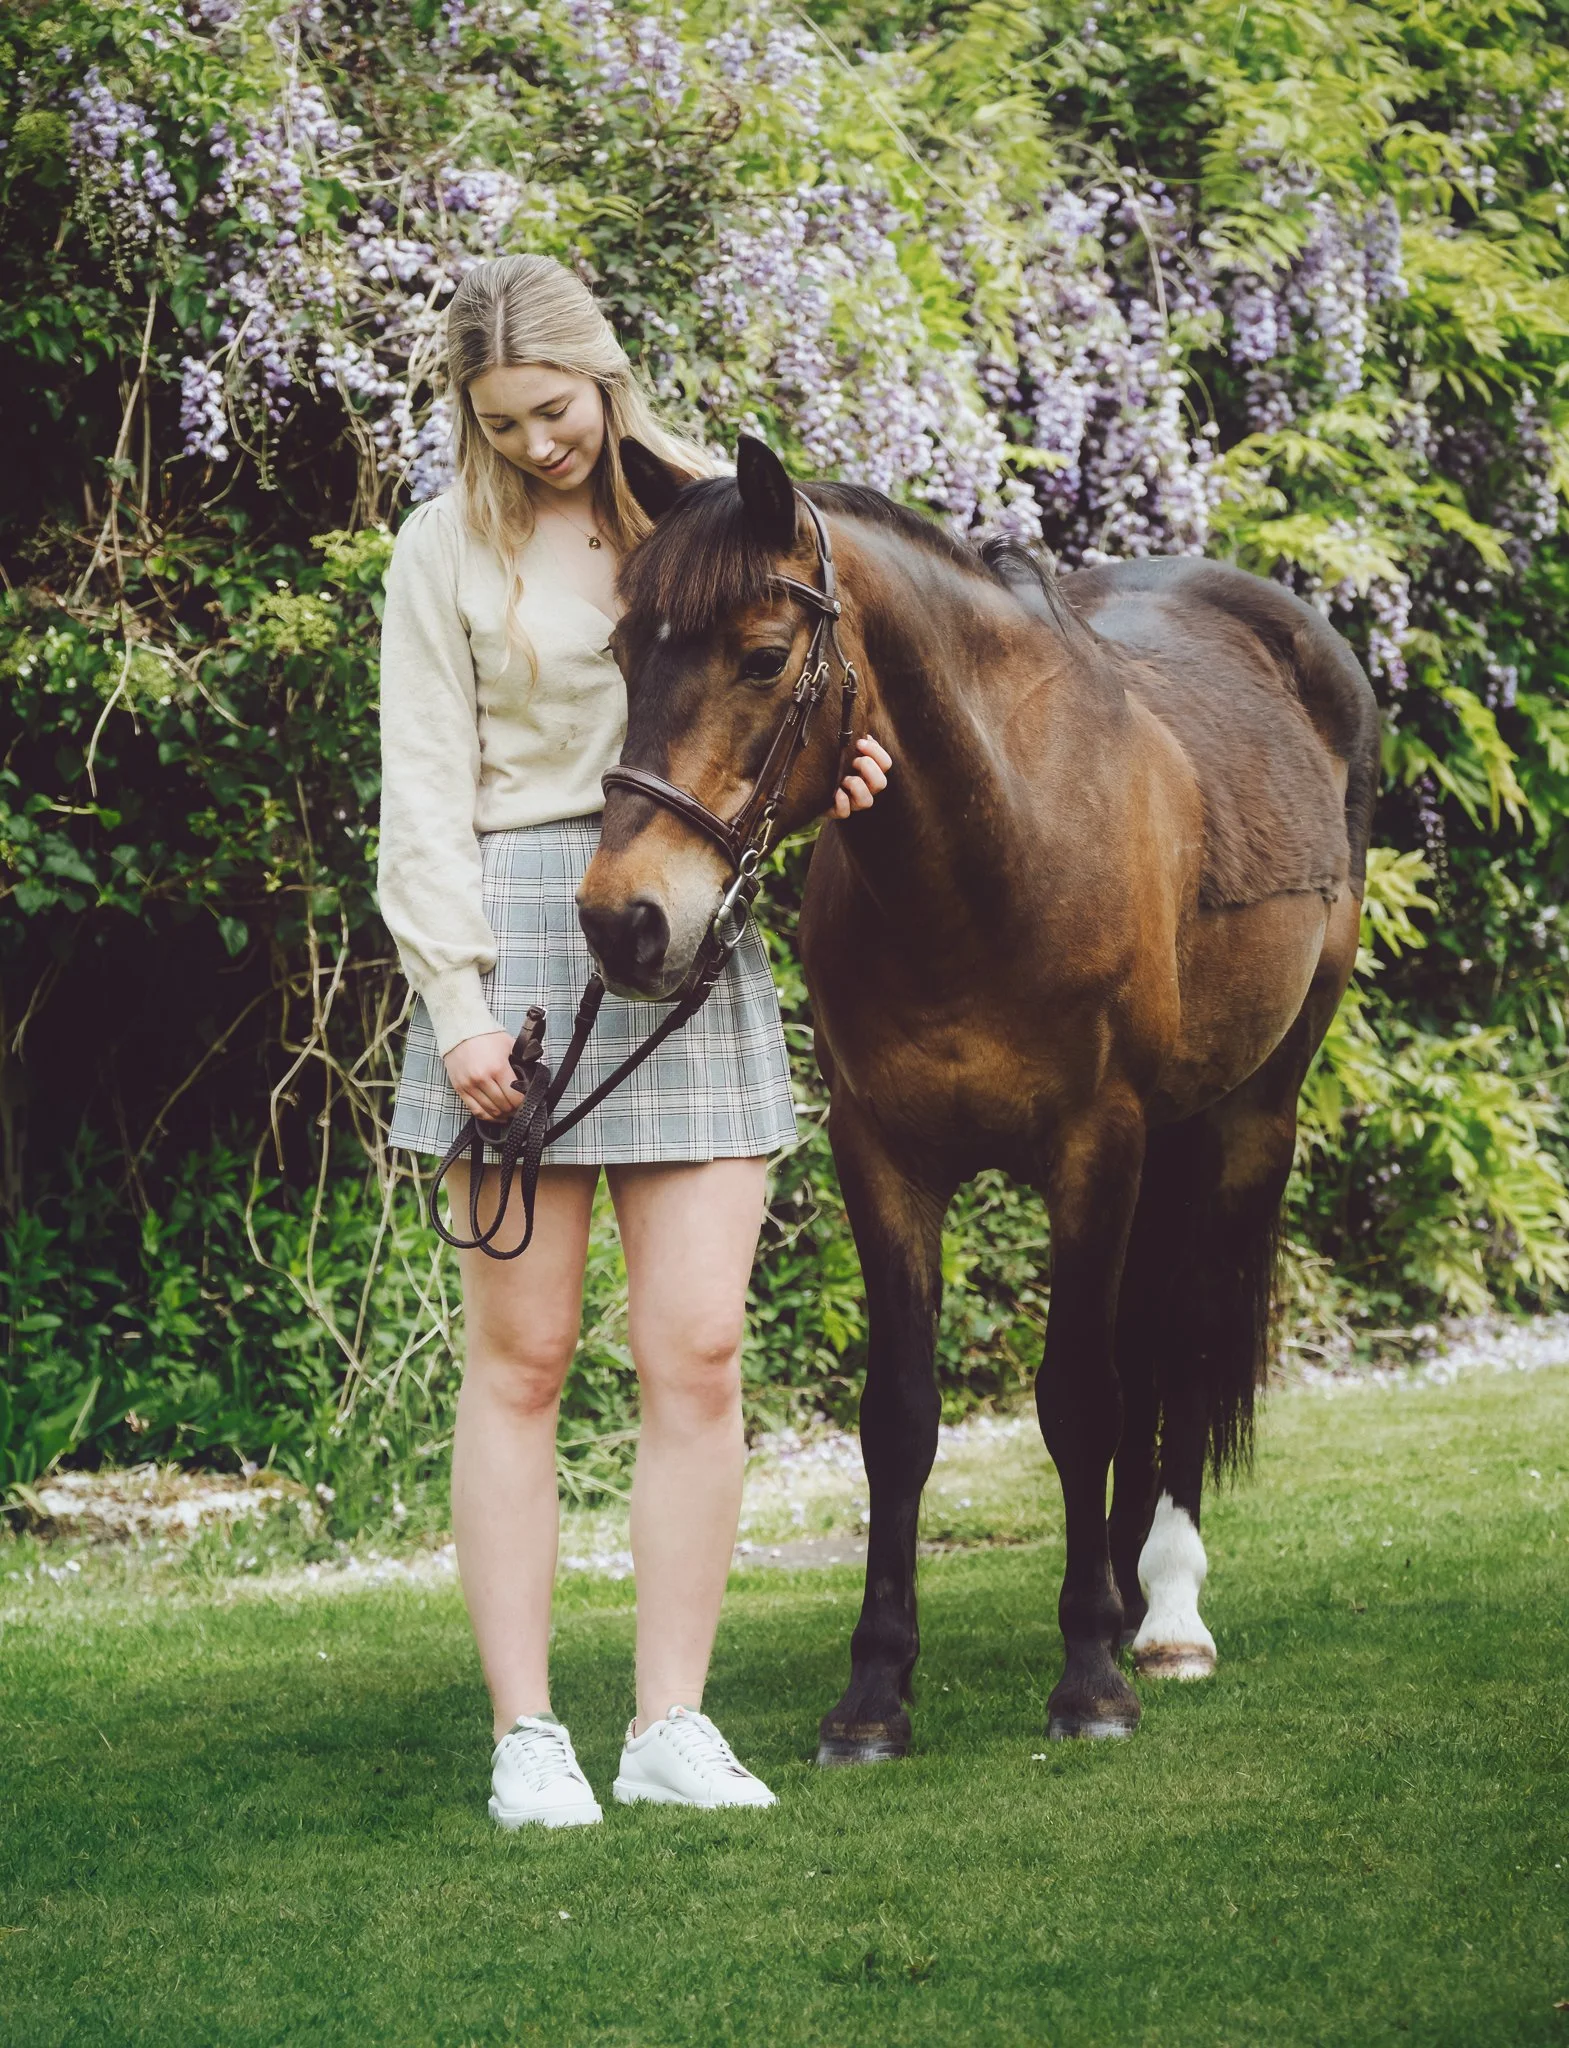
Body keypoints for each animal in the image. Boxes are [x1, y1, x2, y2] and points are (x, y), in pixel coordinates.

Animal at [578, 434, 1379, 1760]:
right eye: (624, 651)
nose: (623, 919)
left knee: (1183, 1331)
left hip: (1247, 1118)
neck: (995, 849)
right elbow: (901, 1416)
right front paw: (875, 1690)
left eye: (761, 656)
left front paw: (1090, 1677)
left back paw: (1161, 1611)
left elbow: (1080, 1396)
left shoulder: (1095, 1146)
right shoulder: (884, 1155)